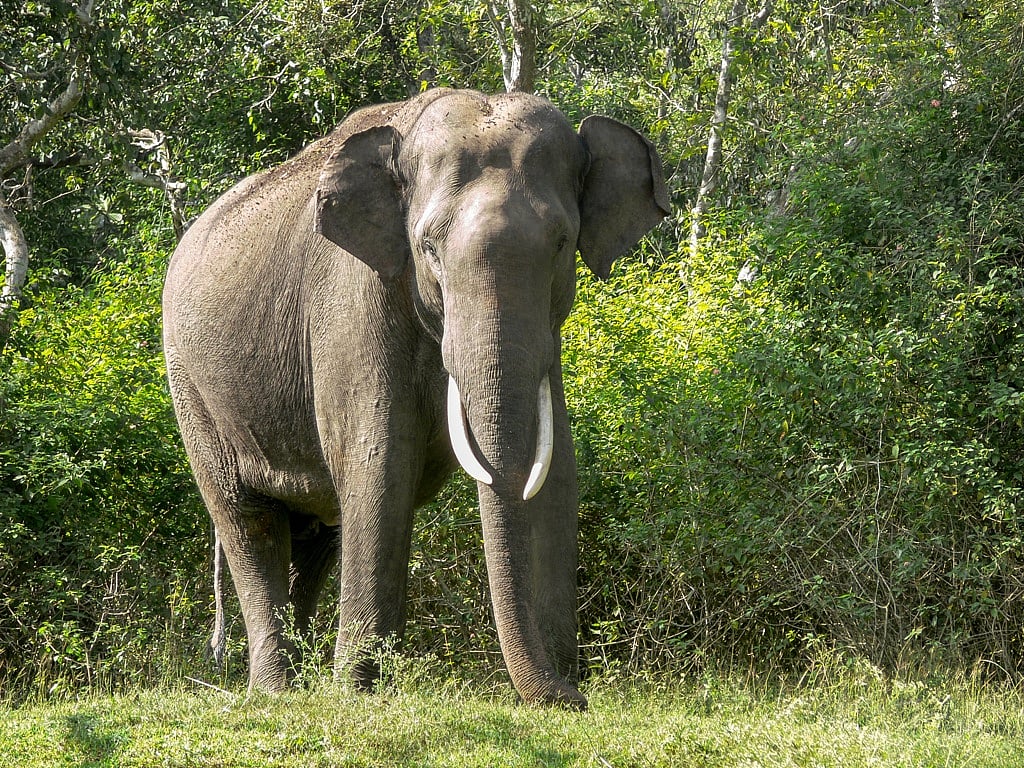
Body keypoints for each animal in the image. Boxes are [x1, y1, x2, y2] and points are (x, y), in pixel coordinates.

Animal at [162, 88, 669, 708]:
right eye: (428, 247)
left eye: (562, 245)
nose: (572, 697)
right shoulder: (353, 305)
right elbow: (380, 464)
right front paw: (356, 694)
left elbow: (556, 472)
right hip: (191, 388)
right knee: (249, 521)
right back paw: (276, 692)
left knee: (315, 535)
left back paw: (299, 685)